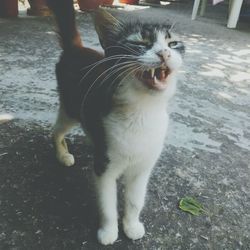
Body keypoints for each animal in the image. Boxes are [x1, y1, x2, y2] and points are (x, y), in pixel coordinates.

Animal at [47, 0, 185, 245]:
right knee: (56, 130)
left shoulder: (143, 168)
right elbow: (107, 204)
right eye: (140, 42)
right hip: (71, 109)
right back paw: (62, 154)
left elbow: (135, 200)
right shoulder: (104, 164)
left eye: (173, 43)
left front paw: (131, 225)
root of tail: (76, 49)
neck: (142, 111)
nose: (164, 53)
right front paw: (108, 231)